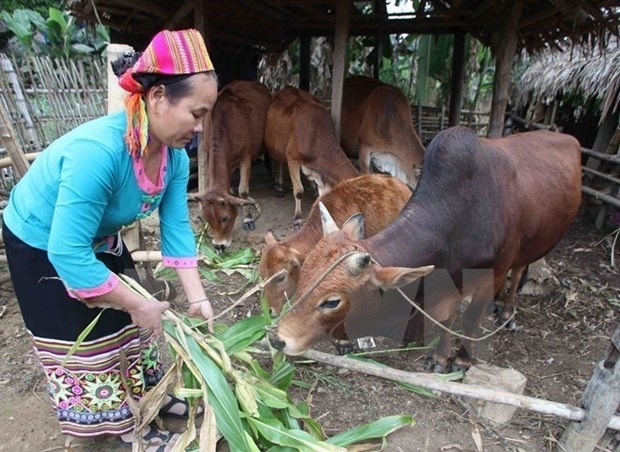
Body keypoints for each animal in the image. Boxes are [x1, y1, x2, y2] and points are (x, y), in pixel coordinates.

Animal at [196, 80, 268, 251]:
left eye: (225, 218)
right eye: (207, 219)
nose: (219, 246)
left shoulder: (246, 156)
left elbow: (243, 192)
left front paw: (248, 219)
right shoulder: (207, 150)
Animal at [266, 85, 358, 228]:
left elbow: (322, 193)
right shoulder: (292, 158)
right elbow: (298, 190)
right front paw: (298, 218)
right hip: (275, 146)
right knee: (279, 162)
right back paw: (279, 187)